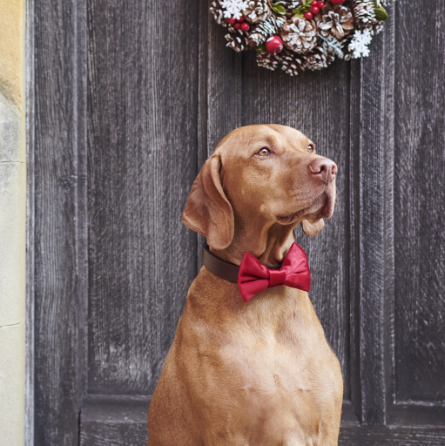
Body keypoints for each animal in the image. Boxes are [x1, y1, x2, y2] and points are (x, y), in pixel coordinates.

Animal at [147, 123, 342, 444]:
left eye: (310, 147)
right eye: (263, 152)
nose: (329, 167)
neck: (267, 290)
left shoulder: (325, 429)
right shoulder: (227, 433)